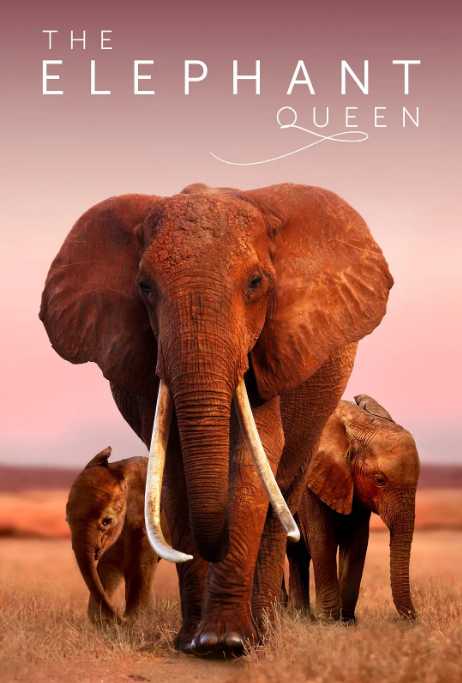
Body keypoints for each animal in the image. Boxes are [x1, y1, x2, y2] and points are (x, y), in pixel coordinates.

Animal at [66, 447, 158, 624]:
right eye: (67, 520)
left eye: (107, 521)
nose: (120, 616)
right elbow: (109, 564)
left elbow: (140, 566)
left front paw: (137, 620)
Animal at [287, 394, 420, 622]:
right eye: (379, 480)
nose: (415, 617)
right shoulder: (310, 480)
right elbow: (322, 539)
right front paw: (328, 621)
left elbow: (357, 542)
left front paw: (347, 620)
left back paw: (300, 617)